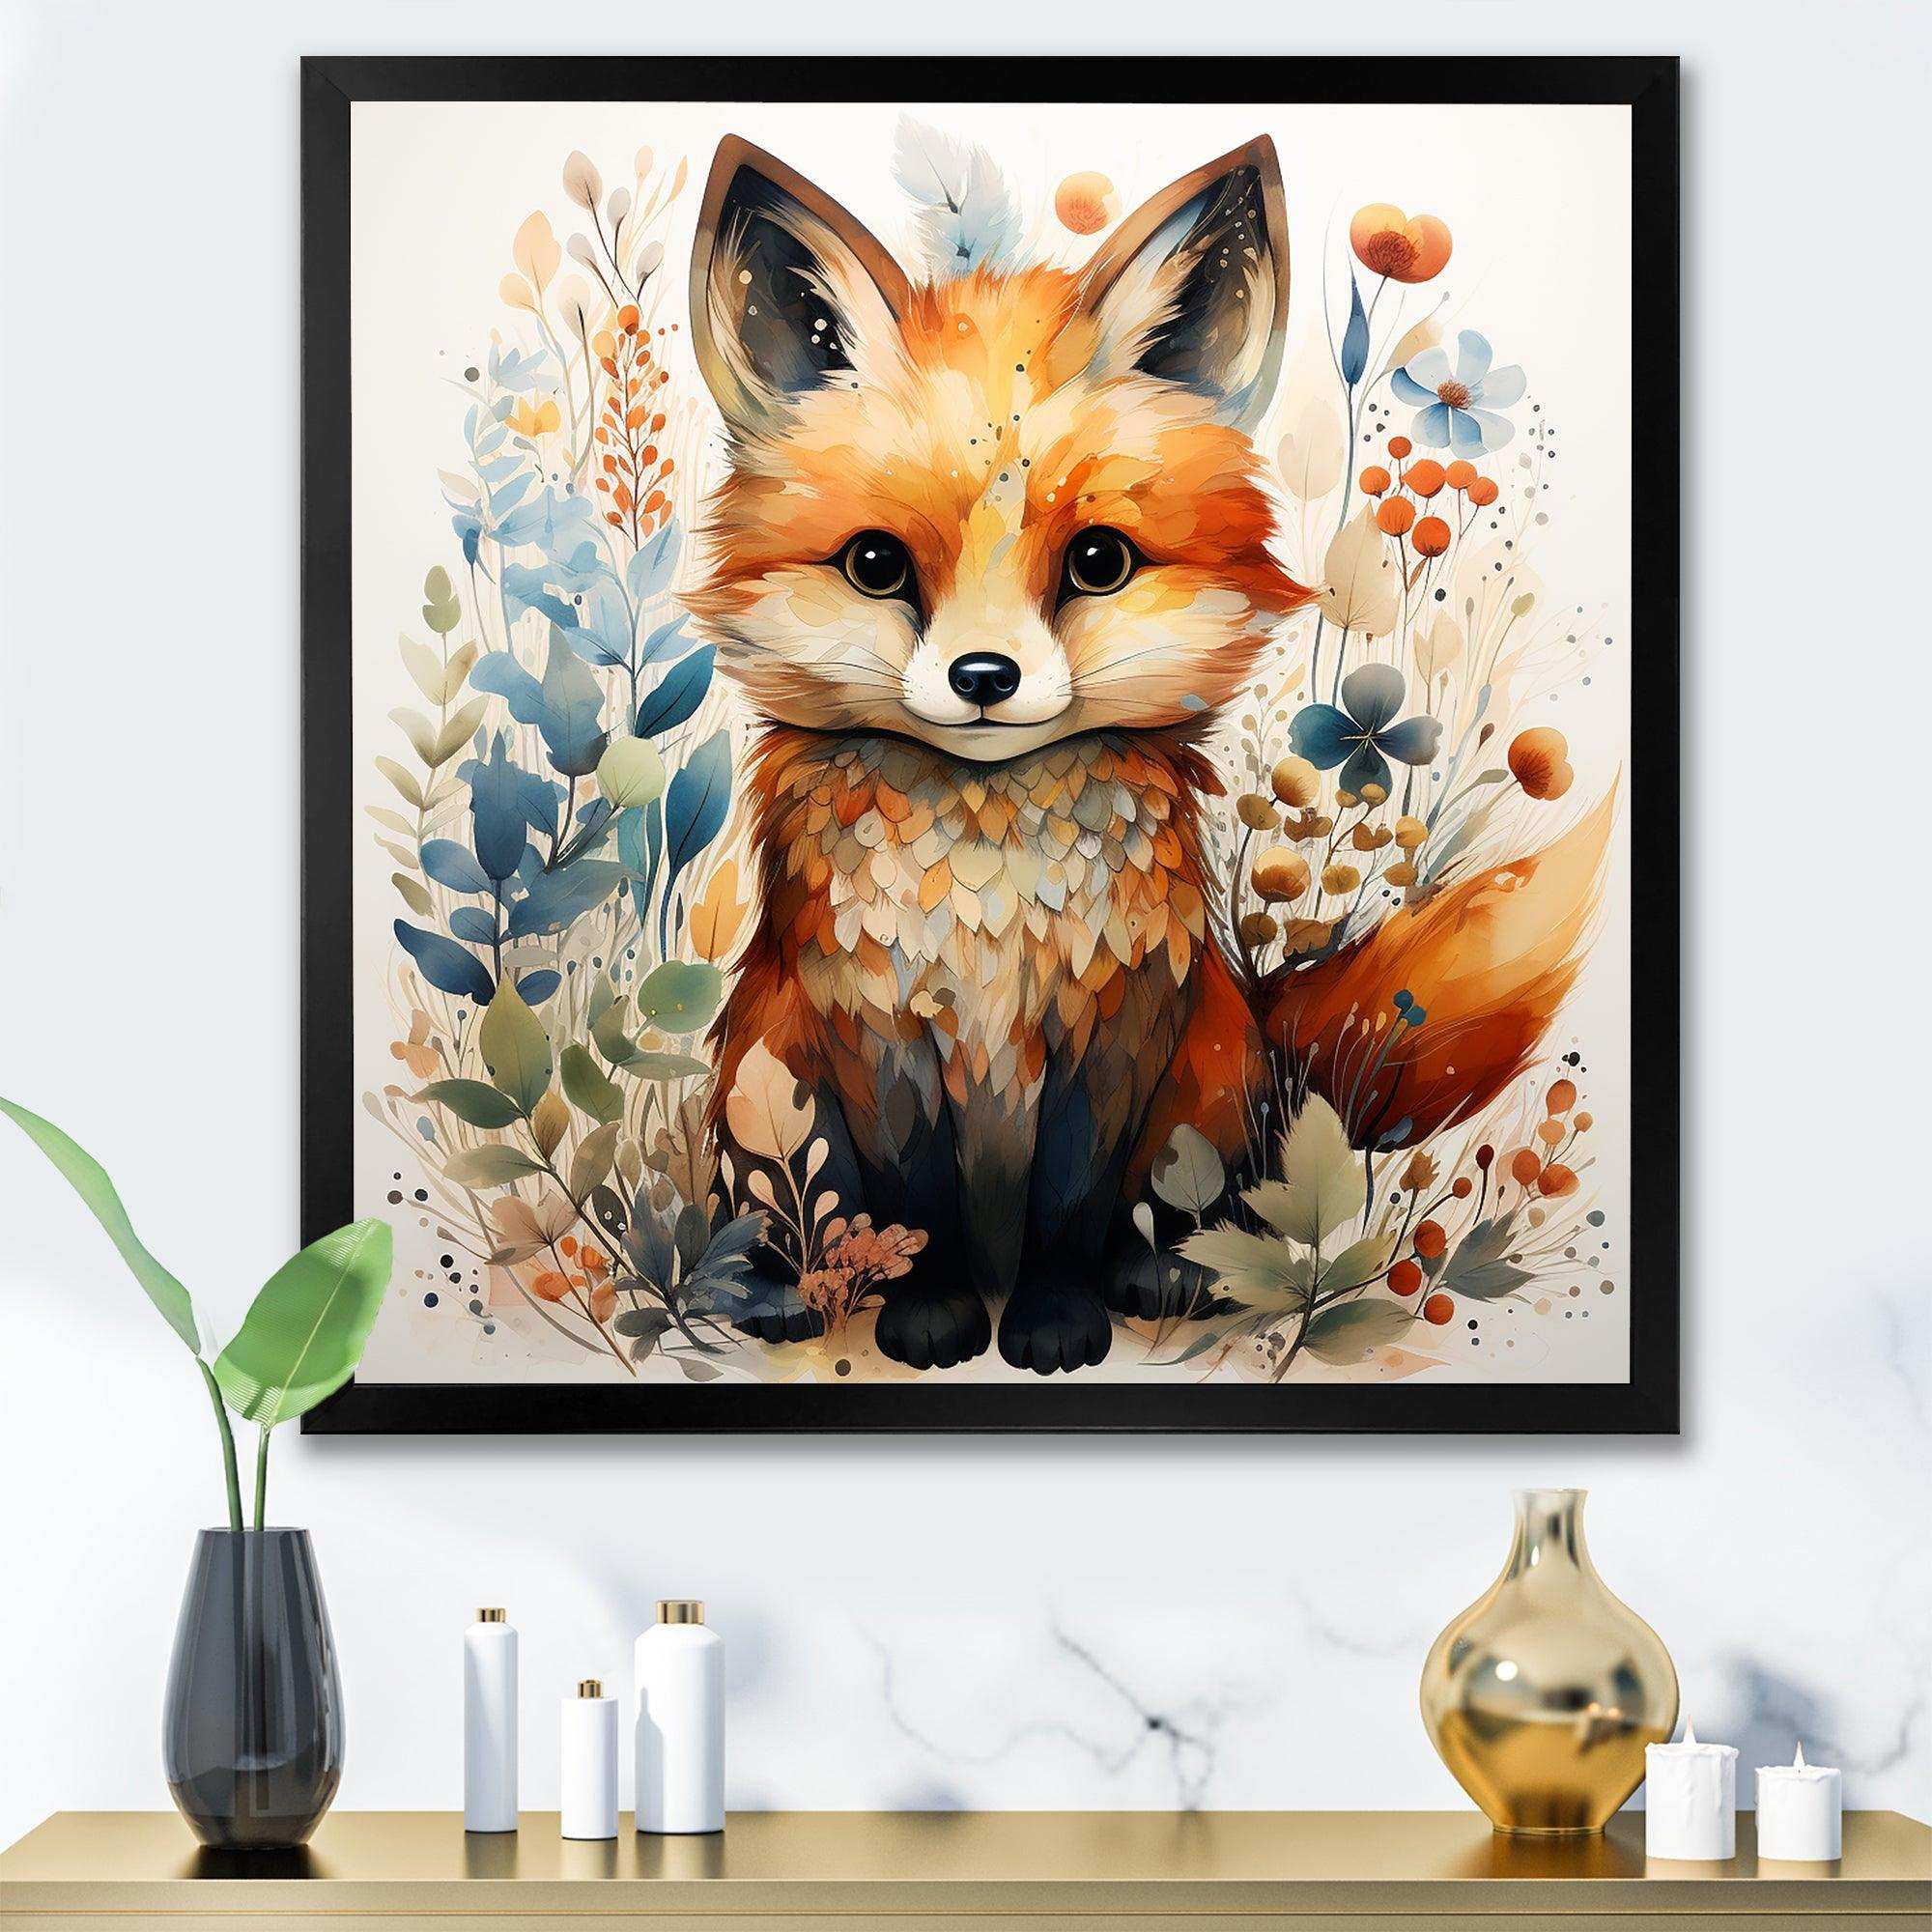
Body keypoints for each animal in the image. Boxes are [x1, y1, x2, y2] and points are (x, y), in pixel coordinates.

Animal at [684, 133, 1607, 1375]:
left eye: (1098, 561)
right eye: (875, 564)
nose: (984, 678)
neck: (991, 890)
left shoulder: (1114, 1027)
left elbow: (1071, 1204)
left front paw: (1053, 1319)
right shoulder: (874, 1028)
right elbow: (914, 1202)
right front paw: (931, 1313)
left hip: (1206, 1075)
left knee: (1186, 1212)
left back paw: (1168, 1275)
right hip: (761, 1068)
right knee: (793, 1212)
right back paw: (781, 1287)